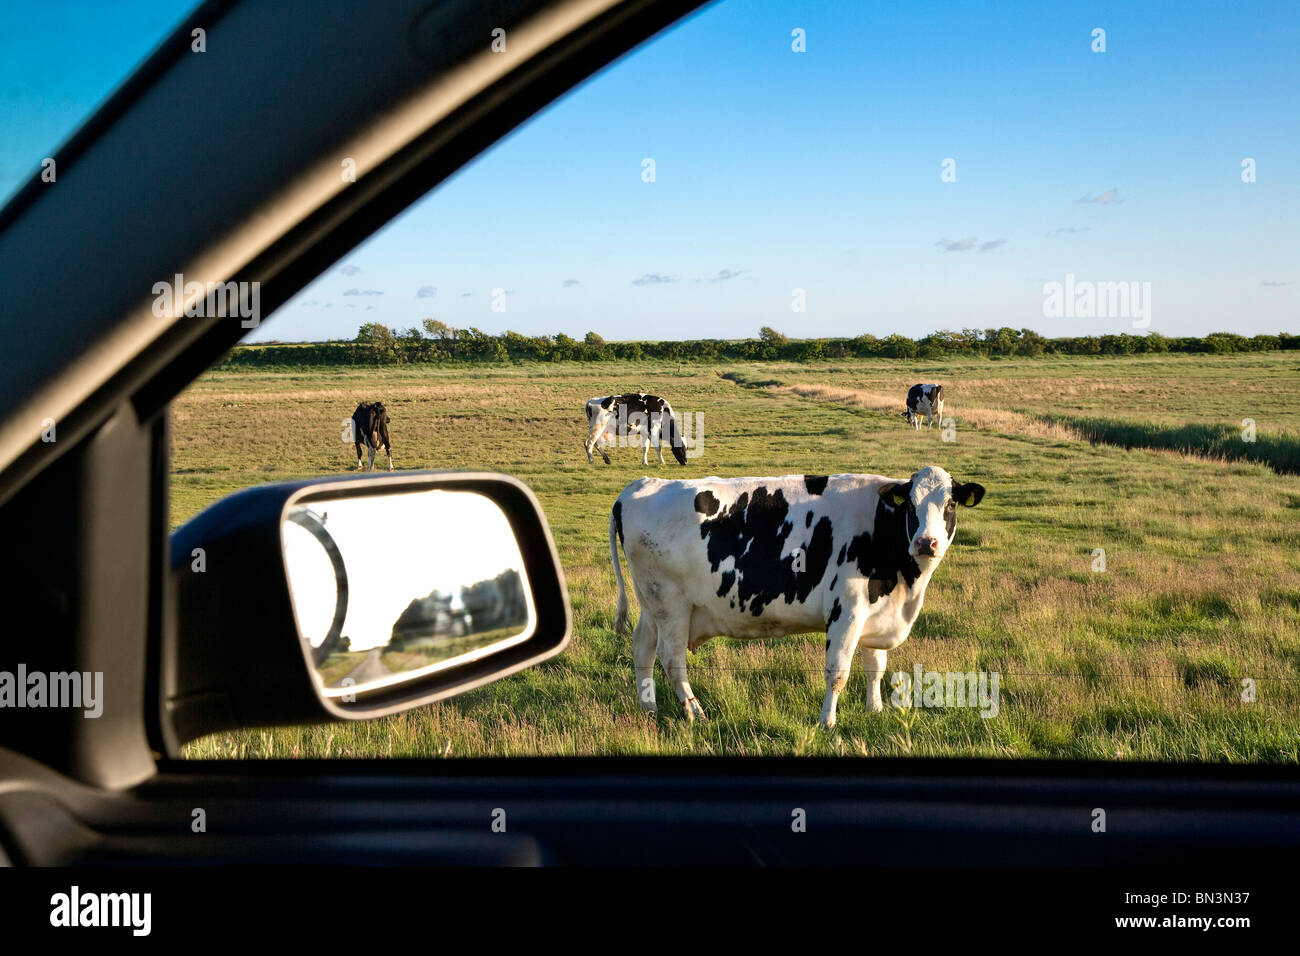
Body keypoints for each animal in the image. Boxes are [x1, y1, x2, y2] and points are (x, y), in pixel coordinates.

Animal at [608, 463, 982, 723]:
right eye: (911, 506)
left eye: (950, 504)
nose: (926, 542)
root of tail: (640, 486)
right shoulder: (847, 610)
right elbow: (838, 672)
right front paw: (827, 723)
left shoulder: (875, 611)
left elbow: (875, 665)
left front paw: (874, 711)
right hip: (671, 604)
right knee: (671, 659)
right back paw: (694, 712)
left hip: (651, 603)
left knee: (642, 648)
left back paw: (649, 708)